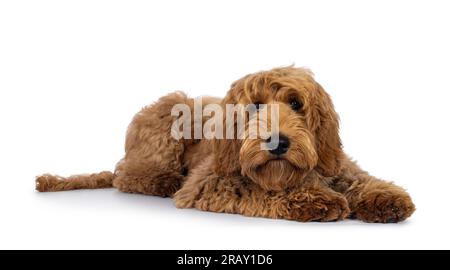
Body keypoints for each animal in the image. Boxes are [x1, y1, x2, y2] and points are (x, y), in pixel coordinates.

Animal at [37, 66, 416, 223]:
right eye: (255, 106)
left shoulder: (337, 167)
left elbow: (359, 179)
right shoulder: (210, 182)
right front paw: (315, 200)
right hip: (169, 112)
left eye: (296, 104)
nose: (277, 142)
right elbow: (259, 188)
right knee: (127, 176)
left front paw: (385, 198)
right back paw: (161, 180)